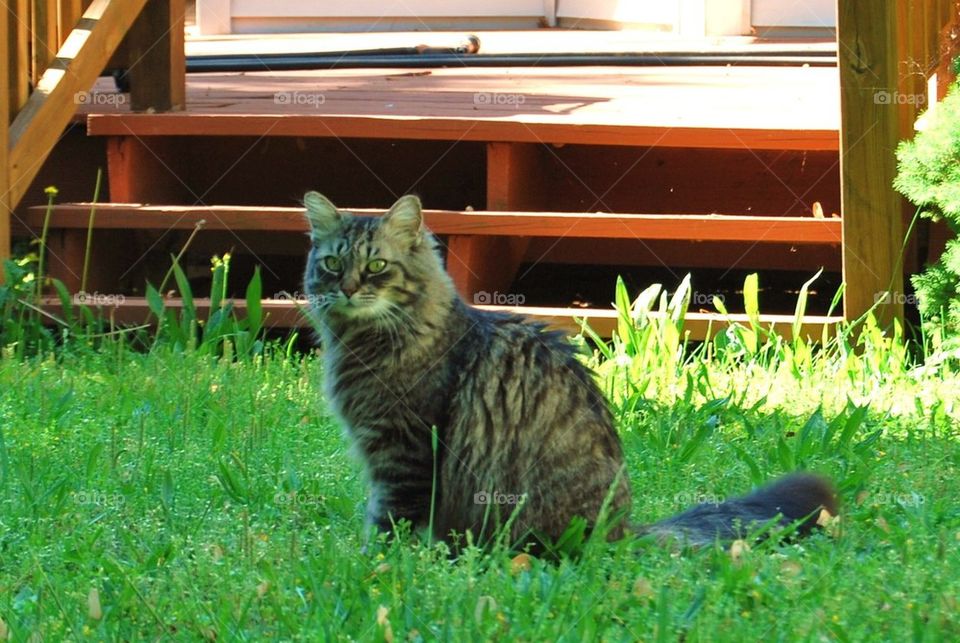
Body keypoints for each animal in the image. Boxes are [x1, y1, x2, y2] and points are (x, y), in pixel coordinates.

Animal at [304, 190, 836, 548]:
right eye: (331, 264)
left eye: (376, 267)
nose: (346, 289)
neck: (363, 342)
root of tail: (619, 529)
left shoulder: (404, 452)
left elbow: (387, 526)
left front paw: (377, 567)